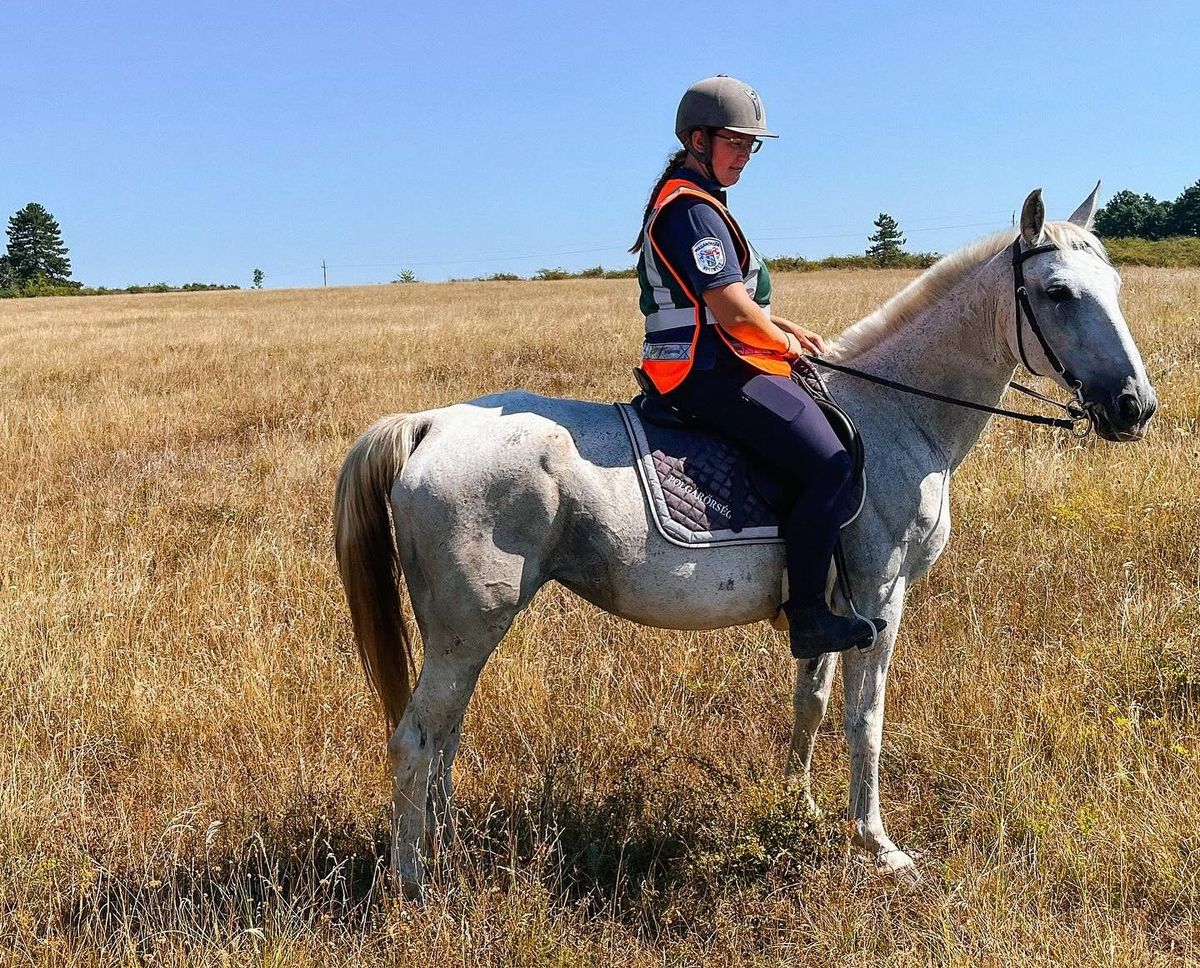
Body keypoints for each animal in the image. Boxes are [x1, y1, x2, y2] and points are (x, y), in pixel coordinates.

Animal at [333, 185, 1156, 897]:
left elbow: (812, 702)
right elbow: (866, 720)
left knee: (444, 739)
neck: (898, 413)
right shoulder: (881, 597)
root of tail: (429, 424)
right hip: (468, 628)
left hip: (465, 635)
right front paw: (879, 846)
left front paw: (803, 810)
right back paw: (416, 888)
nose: (1134, 408)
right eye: (1058, 293)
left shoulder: (829, 604)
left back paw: (448, 854)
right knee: (415, 743)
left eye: (1115, 285)